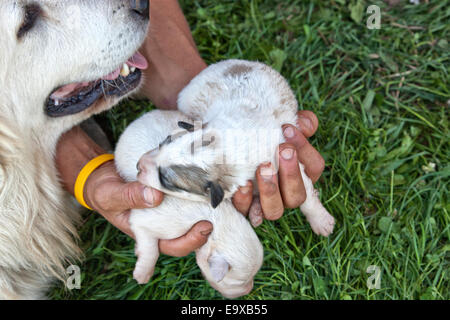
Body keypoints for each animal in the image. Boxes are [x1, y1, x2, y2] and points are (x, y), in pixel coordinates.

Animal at [114, 110, 266, 300]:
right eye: (240, 282)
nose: (250, 288)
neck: (216, 220)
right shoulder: (146, 221)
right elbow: (149, 247)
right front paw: (143, 274)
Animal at [139, 59, 336, 235]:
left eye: (165, 179)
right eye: (163, 141)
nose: (138, 165)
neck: (226, 147)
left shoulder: (281, 153)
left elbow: (307, 194)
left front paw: (322, 222)